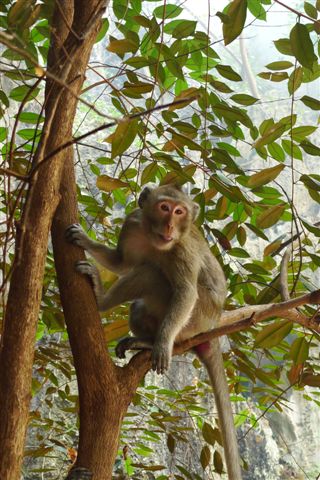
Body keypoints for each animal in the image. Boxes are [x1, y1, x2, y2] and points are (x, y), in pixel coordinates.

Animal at [65, 185, 242, 480]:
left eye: (179, 211)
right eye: (164, 207)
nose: (170, 225)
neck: (154, 239)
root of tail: (213, 325)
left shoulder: (182, 250)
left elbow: (185, 292)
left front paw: (162, 343)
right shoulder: (132, 224)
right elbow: (121, 263)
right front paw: (86, 241)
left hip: (195, 318)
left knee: (151, 274)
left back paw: (114, 310)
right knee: (140, 297)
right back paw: (138, 335)